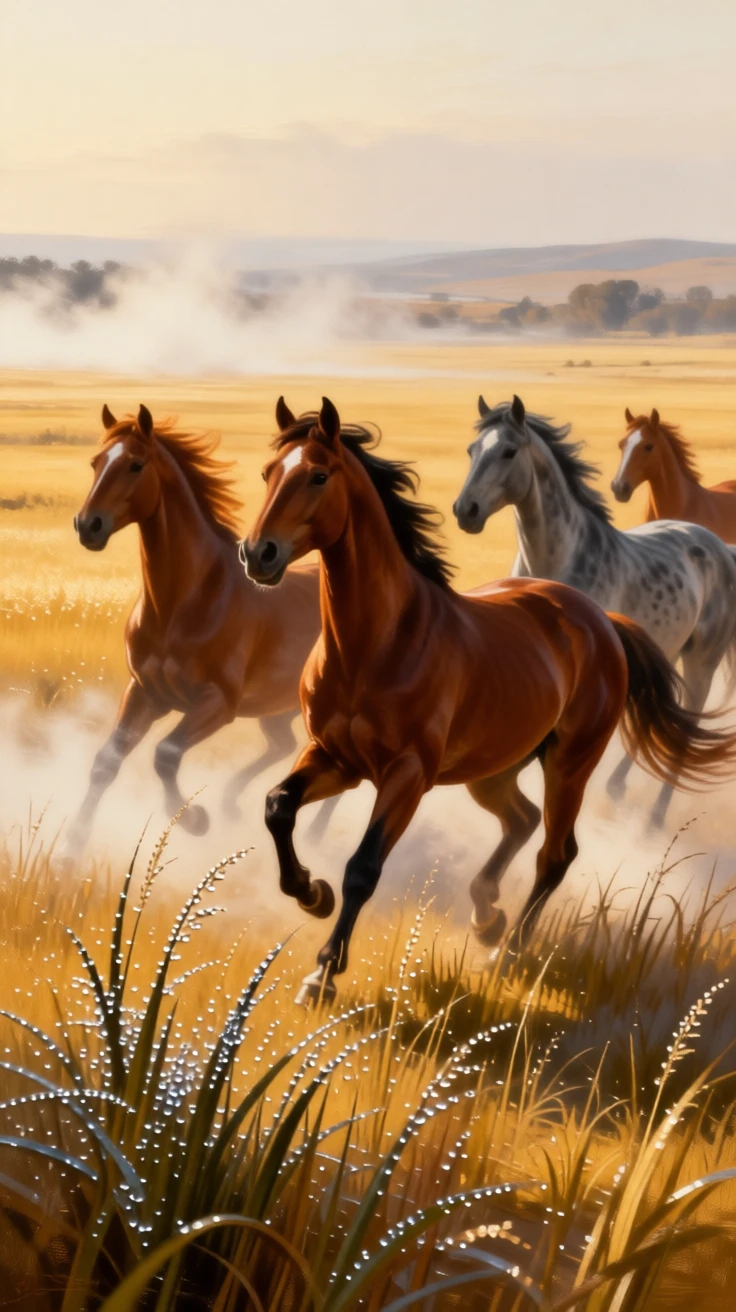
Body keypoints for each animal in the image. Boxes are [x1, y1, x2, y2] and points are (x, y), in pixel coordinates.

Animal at [67, 403, 338, 854]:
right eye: (95, 462)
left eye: (135, 465)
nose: (88, 526)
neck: (181, 604)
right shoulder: (145, 692)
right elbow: (107, 761)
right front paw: (72, 845)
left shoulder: (216, 703)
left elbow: (166, 754)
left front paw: (196, 820)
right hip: (276, 709)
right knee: (282, 746)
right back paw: (234, 804)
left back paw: (314, 836)